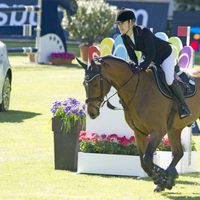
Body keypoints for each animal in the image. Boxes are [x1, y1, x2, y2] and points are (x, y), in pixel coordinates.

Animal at [77, 55, 200, 192]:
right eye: (84, 84)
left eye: (95, 84)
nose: (91, 113)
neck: (137, 89)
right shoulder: (139, 132)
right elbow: (144, 162)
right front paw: (162, 180)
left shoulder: (158, 131)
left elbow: (147, 159)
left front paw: (162, 177)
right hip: (174, 129)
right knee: (178, 153)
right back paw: (170, 175)